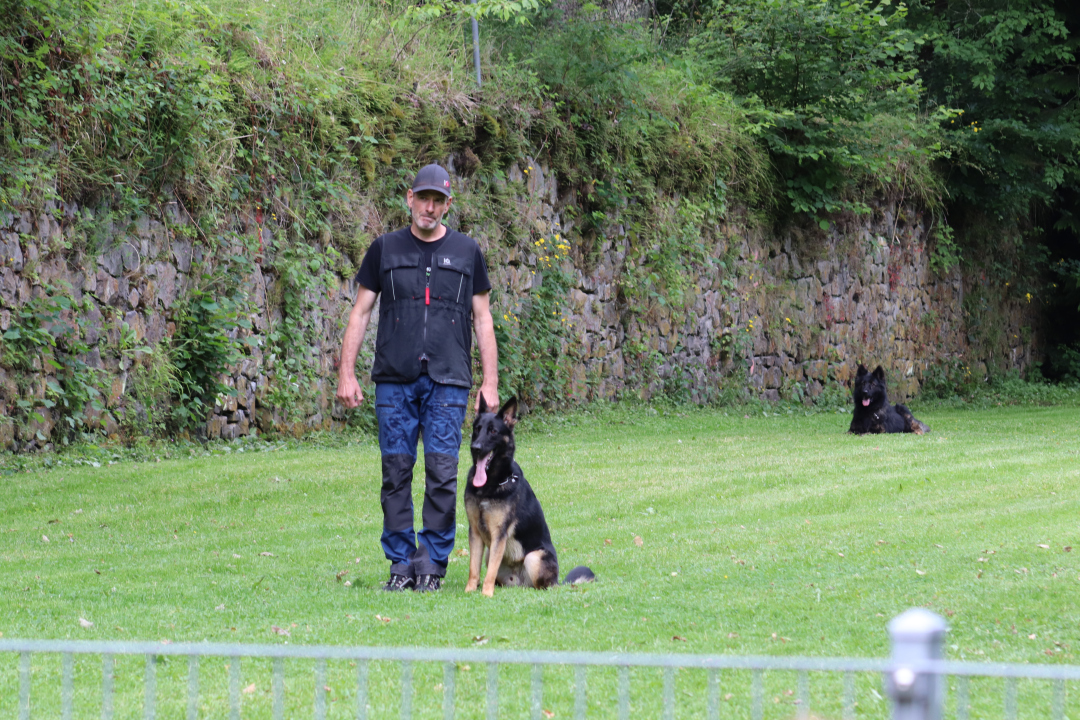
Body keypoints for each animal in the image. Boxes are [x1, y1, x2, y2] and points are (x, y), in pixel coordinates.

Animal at [464, 396, 594, 596]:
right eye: (477, 429)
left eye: (493, 431)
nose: (475, 448)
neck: (491, 484)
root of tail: (520, 583)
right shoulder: (476, 532)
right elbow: (473, 568)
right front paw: (470, 591)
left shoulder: (499, 535)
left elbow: (490, 571)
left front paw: (486, 594)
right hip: (490, 553)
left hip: (534, 557)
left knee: (543, 586)